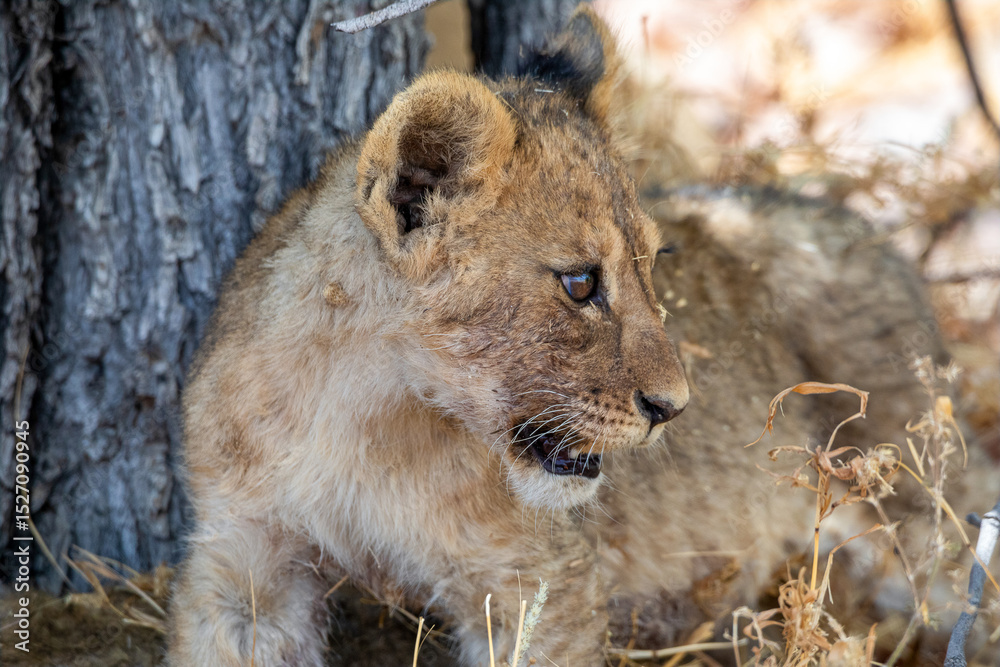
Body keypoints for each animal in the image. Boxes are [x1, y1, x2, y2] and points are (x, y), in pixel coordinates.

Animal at [168, 7, 988, 666]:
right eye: (580, 284)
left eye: (653, 262)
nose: (674, 408)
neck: (362, 412)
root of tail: (873, 235)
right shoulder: (245, 561)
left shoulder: (534, 581)